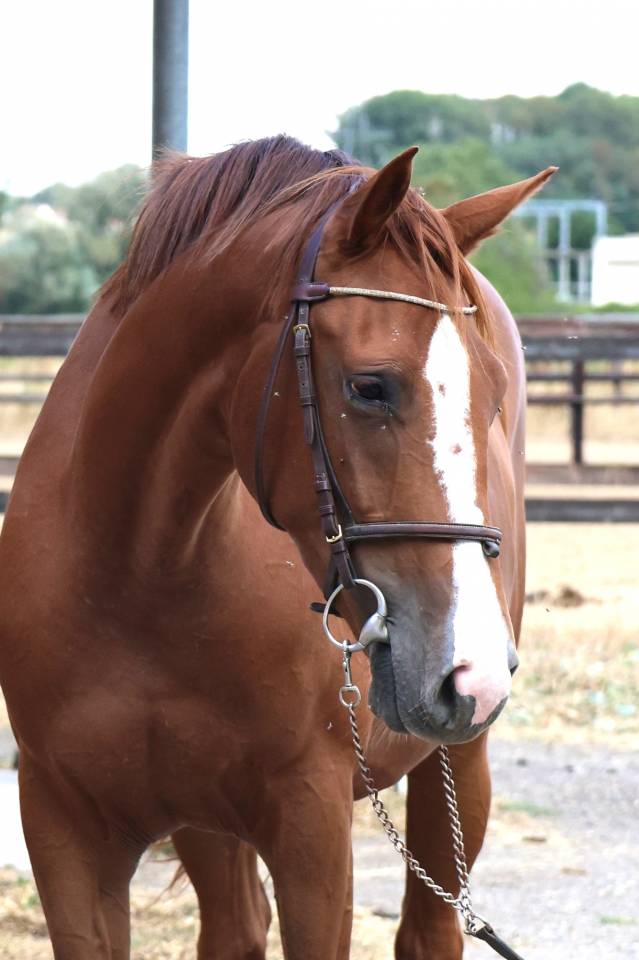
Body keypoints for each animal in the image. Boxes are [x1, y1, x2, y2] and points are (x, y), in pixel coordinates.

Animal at [0, 135, 554, 959]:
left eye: (491, 397)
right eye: (370, 386)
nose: (471, 672)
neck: (139, 572)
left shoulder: (311, 831)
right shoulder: (64, 833)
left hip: (458, 762)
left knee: (430, 930)